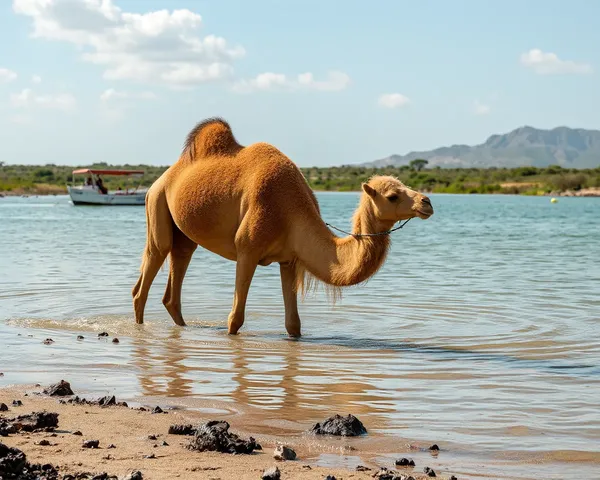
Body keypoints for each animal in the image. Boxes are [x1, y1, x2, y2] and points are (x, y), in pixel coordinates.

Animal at [131, 119, 434, 338]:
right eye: (393, 196)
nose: (427, 202)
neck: (291, 209)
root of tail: (162, 178)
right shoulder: (247, 249)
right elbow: (235, 319)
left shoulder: (288, 260)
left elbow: (293, 324)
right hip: (157, 204)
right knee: (149, 271)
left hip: (182, 233)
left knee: (176, 277)